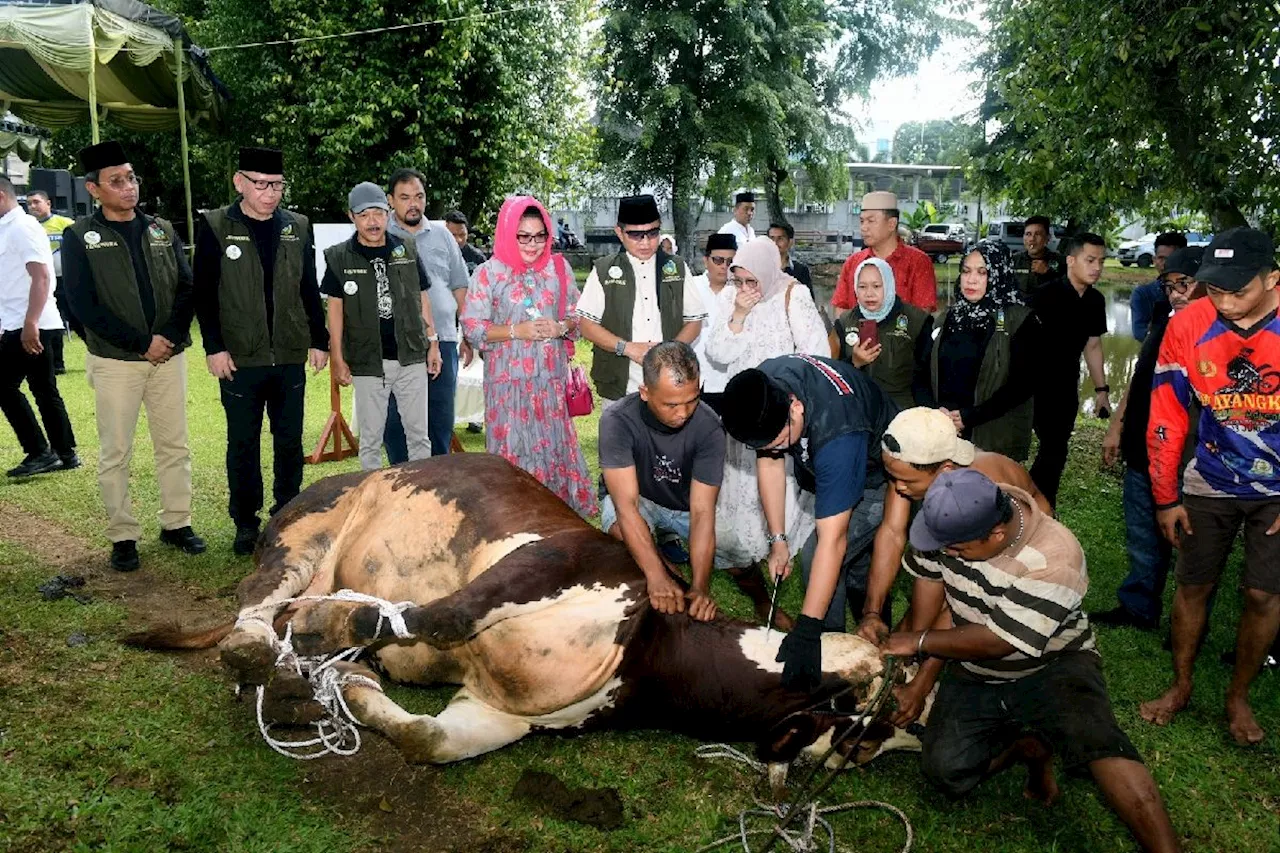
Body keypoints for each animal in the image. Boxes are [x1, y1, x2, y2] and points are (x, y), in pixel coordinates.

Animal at [132, 455, 921, 768]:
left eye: (854, 748)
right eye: (864, 726)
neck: (654, 649)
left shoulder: (501, 712)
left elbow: (427, 738)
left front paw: (354, 686)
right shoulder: (549, 565)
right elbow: (435, 617)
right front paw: (333, 633)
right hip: (308, 532)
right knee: (260, 600)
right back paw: (259, 643)